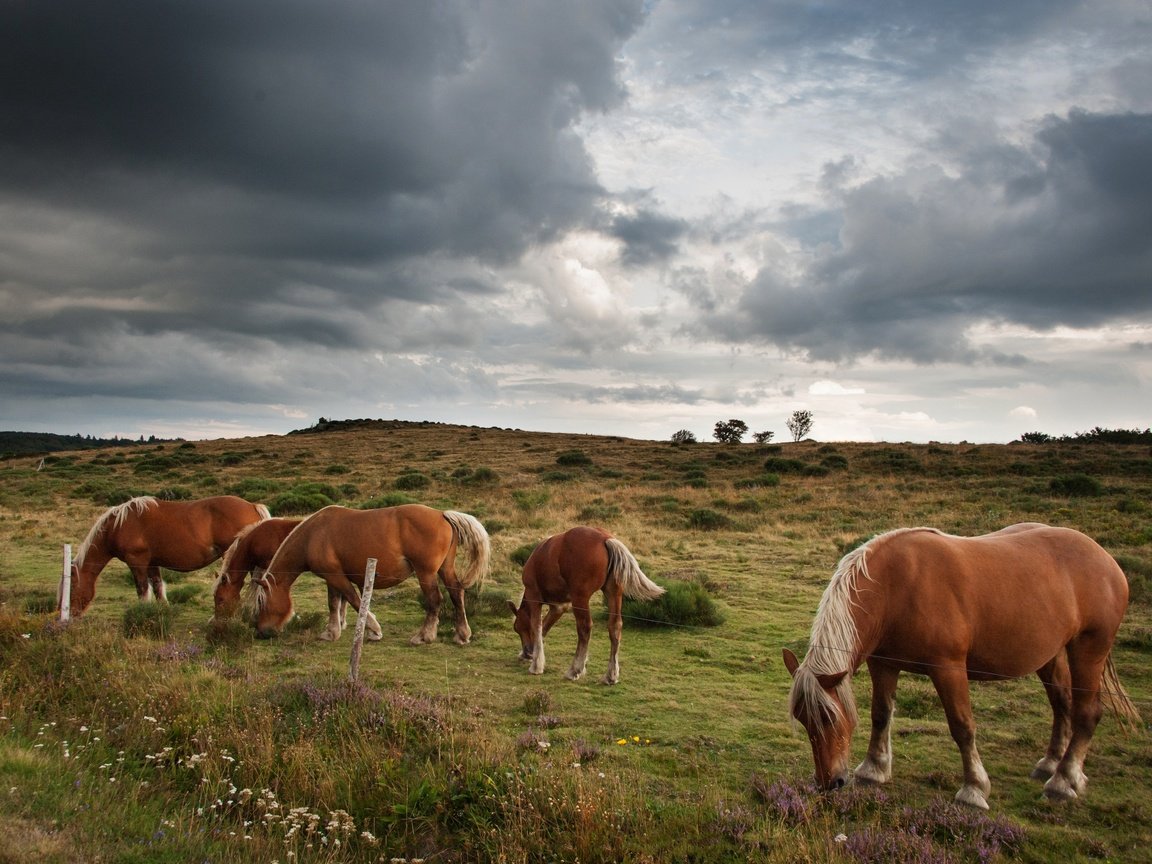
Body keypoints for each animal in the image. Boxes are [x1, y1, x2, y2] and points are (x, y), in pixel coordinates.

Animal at [67, 493, 271, 617]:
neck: (119, 525)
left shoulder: (137, 562)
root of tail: (252, 506)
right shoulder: (151, 563)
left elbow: (142, 589)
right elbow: (157, 586)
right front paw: (163, 610)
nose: (70, 615)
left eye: (71, 587)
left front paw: (142, 613)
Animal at [254, 504, 488, 645]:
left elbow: (354, 601)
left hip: (426, 573)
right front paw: (331, 632)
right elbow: (334, 604)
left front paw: (374, 630)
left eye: (261, 602)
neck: (313, 534)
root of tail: (442, 514)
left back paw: (424, 636)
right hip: (445, 569)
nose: (262, 631)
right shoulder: (331, 578)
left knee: (434, 600)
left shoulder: (337, 576)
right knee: (456, 593)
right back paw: (462, 634)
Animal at [509, 525, 663, 686]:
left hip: (580, 599)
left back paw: (575, 670)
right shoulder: (559, 606)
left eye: (517, 628)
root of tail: (605, 539)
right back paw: (611, 675)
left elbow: (537, 626)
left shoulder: (534, 597)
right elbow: (544, 627)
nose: (527, 652)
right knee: (615, 627)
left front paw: (536, 665)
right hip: (613, 593)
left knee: (584, 628)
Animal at [778, 525, 1138, 815]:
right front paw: (873, 770)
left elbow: (962, 726)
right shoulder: (883, 664)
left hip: (1088, 649)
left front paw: (974, 789)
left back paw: (1063, 781)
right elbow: (880, 714)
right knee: (1061, 704)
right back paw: (1050, 765)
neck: (895, 588)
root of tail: (1105, 559)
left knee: (1086, 713)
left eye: (828, 718)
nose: (831, 782)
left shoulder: (948, 668)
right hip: (1051, 655)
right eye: (803, 719)